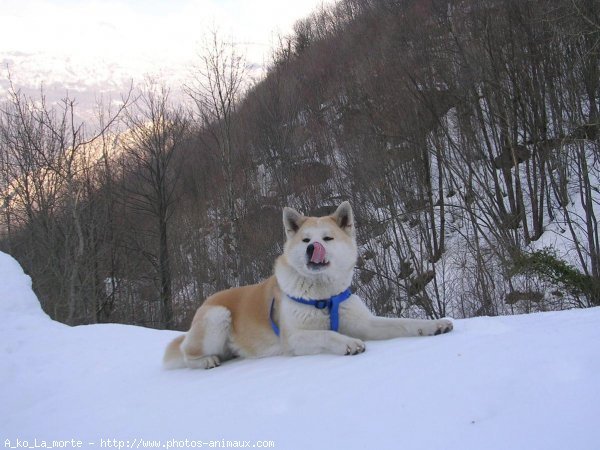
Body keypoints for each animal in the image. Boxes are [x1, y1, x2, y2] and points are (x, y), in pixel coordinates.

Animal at [162, 201, 452, 370]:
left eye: (327, 238)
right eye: (305, 240)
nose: (313, 247)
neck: (323, 294)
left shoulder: (366, 323)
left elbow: (402, 323)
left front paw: (434, 325)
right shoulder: (293, 338)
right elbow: (327, 334)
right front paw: (348, 343)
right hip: (217, 315)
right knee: (187, 355)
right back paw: (208, 360)